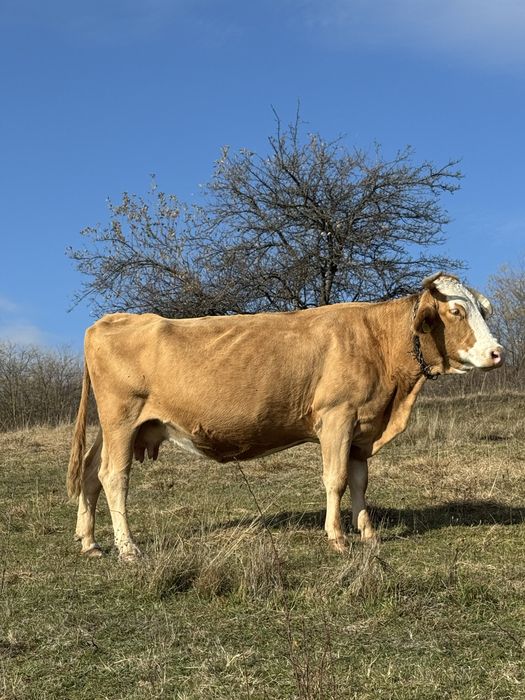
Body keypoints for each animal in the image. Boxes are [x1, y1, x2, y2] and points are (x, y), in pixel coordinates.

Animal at [67, 272, 503, 560]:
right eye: (456, 311)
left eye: (483, 310)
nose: (497, 352)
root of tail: (111, 320)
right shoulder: (337, 417)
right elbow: (336, 480)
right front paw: (337, 538)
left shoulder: (363, 427)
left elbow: (360, 483)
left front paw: (369, 534)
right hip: (122, 419)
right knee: (114, 477)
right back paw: (127, 547)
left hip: (118, 426)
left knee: (90, 473)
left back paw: (90, 542)